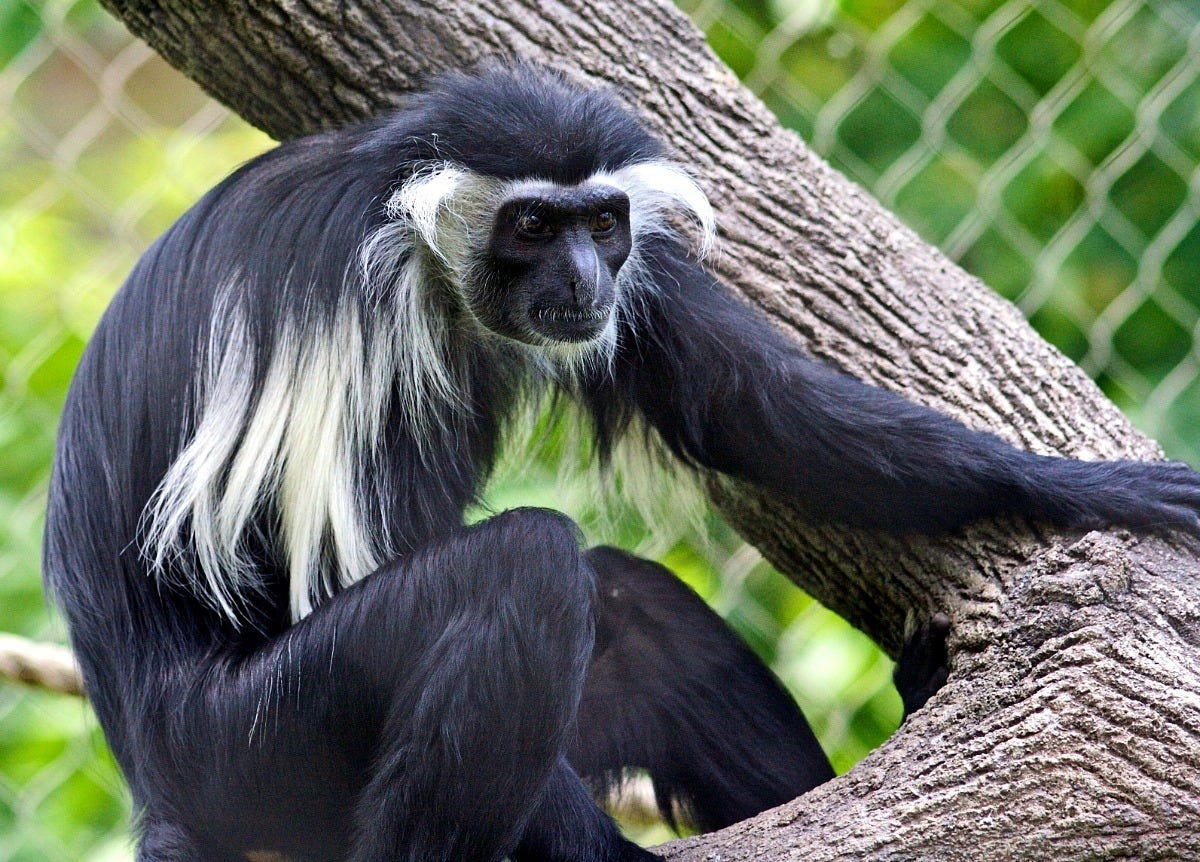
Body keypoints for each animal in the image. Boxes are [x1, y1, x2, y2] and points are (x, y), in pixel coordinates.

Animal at [43, 66, 1200, 861]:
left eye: (601, 222)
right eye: (530, 225)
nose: (587, 278)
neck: (418, 247)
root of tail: (155, 775)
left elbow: (750, 406)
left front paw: (1087, 486)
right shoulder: (345, 305)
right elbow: (331, 566)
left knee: (639, 615)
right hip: (251, 744)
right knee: (525, 571)